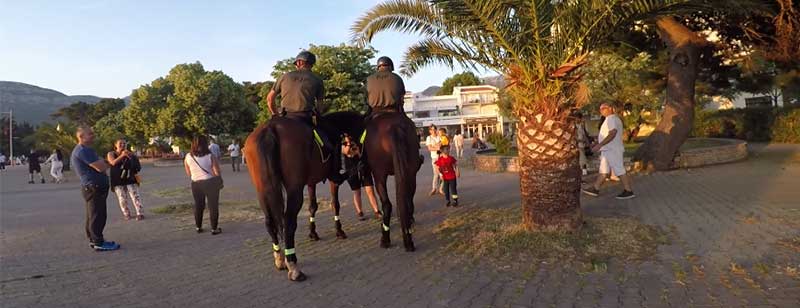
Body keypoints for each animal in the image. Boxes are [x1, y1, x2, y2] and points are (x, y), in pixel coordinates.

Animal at [245, 110, 364, 282]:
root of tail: (270, 129)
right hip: (294, 189)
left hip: (262, 190)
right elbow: (335, 204)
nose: (360, 160)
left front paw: (313, 233)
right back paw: (293, 265)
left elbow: (313, 206)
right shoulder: (332, 179)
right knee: (288, 222)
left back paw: (279, 259)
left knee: (269, 221)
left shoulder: (310, 182)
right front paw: (339, 230)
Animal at [362, 112, 424, 251]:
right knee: (404, 200)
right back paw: (407, 236)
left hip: (379, 174)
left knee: (388, 204)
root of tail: (395, 127)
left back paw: (386, 239)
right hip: (409, 172)